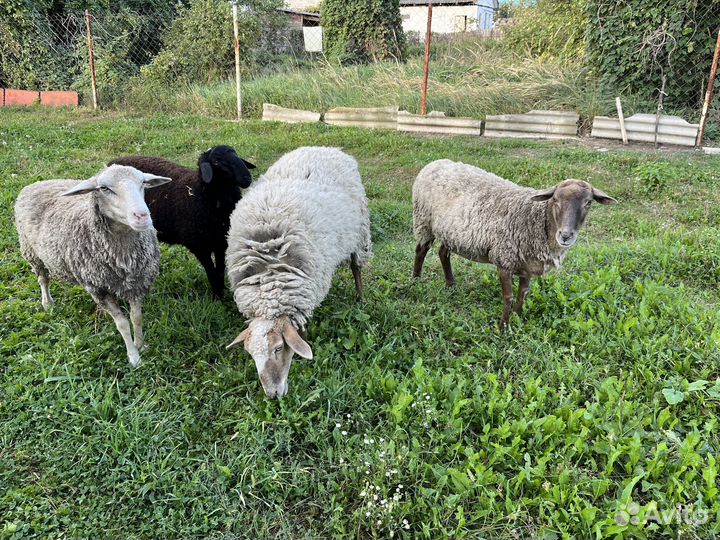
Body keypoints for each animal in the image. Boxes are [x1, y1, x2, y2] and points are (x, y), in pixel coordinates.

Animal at [14, 165, 171, 367]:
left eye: (143, 183)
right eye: (104, 188)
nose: (142, 216)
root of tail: (36, 183)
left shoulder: (138, 284)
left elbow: (136, 318)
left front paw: (141, 345)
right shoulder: (98, 289)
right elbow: (122, 324)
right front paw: (133, 357)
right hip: (31, 252)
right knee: (43, 279)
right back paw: (47, 303)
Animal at [109, 146, 256, 298]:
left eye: (236, 154)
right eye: (216, 161)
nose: (247, 178)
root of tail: (112, 163)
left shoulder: (220, 242)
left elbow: (220, 271)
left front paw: (222, 294)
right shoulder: (199, 246)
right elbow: (211, 272)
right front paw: (217, 297)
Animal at [225, 146, 372, 399]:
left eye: (278, 348)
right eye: (251, 355)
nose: (273, 395)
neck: (270, 276)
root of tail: (325, 148)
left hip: (359, 231)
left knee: (356, 267)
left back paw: (360, 298)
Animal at [411, 159, 616, 329]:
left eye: (588, 203)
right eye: (555, 200)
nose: (565, 235)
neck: (535, 219)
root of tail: (435, 162)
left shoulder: (528, 266)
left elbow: (522, 294)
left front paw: (518, 320)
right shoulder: (504, 261)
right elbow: (508, 297)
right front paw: (503, 327)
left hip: (451, 232)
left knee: (443, 253)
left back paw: (451, 284)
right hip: (424, 221)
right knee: (421, 250)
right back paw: (415, 281)